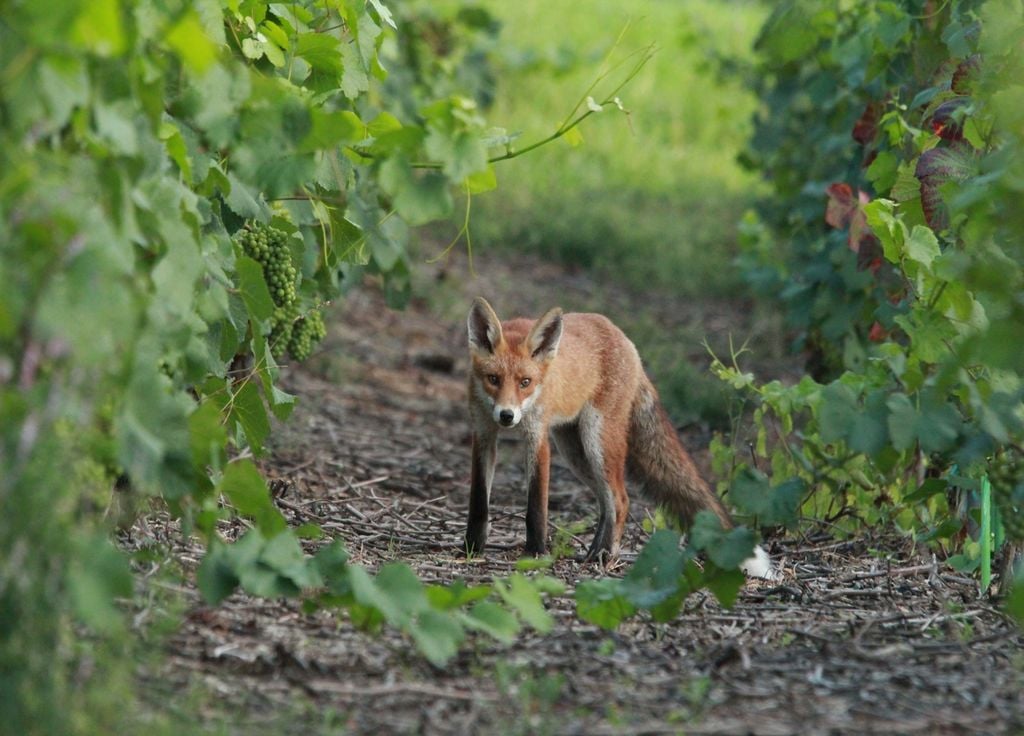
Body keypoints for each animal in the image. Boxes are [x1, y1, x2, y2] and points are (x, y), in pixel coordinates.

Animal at [463, 297, 775, 579]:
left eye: (525, 383)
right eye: (493, 379)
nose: (507, 416)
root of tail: (622, 336)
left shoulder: (536, 438)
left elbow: (536, 508)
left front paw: (535, 554)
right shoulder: (483, 435)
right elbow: (478, 502)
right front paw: (471, 550)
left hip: (597, 440)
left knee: (621, 499)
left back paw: (606, 555)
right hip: (575, 450)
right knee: (607, 503)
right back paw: (594, 553)